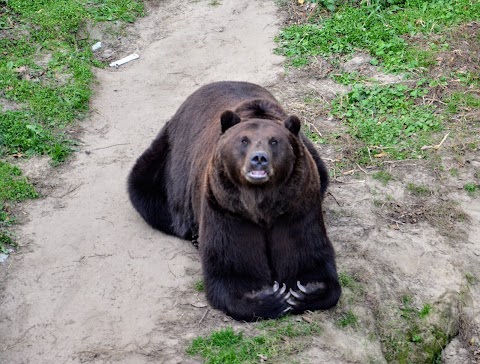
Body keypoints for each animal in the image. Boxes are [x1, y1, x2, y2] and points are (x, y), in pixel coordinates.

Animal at [127, 81, 342, 320]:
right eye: (244, 140)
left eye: (274, 141)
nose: (259, 159)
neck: (260, 204)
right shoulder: (227, 207)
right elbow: (231, 266)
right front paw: (269, 297)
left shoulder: (296, 205)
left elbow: (309, 255)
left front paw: (304, 291)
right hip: (169, 162)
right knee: (145, 190)